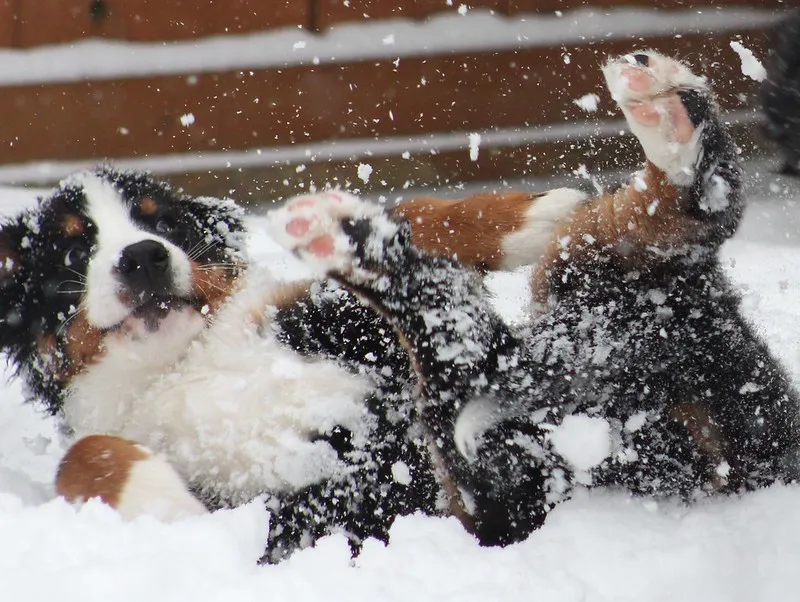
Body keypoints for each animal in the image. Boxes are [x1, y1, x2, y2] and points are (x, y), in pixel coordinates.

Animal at [7, 50, 800, 556]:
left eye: (162, 223)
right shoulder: (275, 507)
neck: (182, 362)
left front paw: (528, 216)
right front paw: (160, 496)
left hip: (599, 289)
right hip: (507, 479)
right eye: (73, 254)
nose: (141, 257)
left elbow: (418, 211)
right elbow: (83, 452)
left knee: (677, 215)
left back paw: (664, 113)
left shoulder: (316, 312)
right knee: (462, 373)